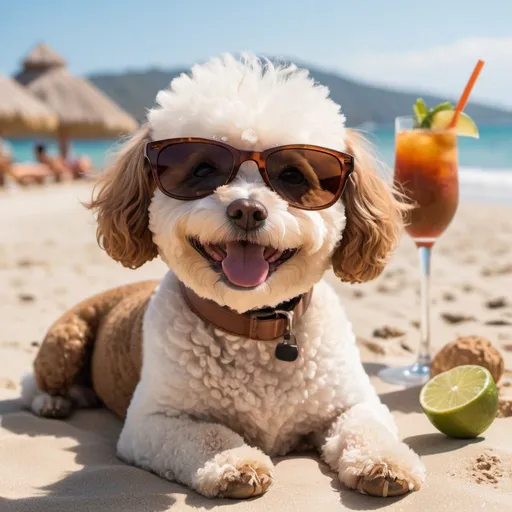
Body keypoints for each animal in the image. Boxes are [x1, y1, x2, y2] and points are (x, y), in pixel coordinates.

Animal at [22, 54, 424, 498]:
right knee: (35, 381)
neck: (254, 327)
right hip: (66, 339)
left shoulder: (352, 402)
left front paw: (383, 461)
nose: (247, 210)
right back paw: (52, 401)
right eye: (203, 170)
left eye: (292, 176)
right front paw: (235, 463)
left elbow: (364, 427)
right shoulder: (151, 423)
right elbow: (207, 435)